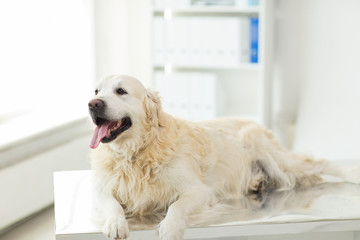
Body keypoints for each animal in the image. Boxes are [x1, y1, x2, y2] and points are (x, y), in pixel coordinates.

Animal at [88, 74, 360, 239]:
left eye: (121, 91)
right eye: (97, 90)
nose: (92, 104)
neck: (135, 153)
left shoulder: (198, 191)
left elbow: (176, 206)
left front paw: (169, 228)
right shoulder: (101, 189)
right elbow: (112, 204)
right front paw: (115, 223)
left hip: (275, 156)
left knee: (322, 163)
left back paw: (352, 173)